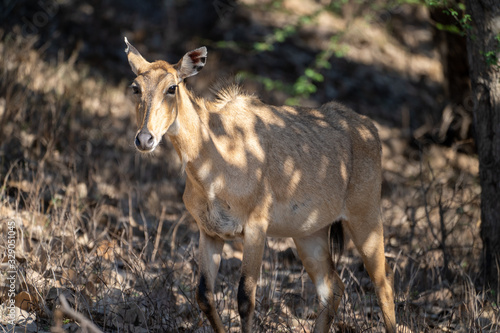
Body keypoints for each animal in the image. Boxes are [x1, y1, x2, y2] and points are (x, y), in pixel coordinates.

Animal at [124, 38, 394, 332]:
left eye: (172, 87)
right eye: (136, 87)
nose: (144, 139)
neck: (213, 165)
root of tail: (371, 130)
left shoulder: (256, 227)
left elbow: (245, 298)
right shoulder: (210, 232)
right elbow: (204, 295)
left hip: (365, 218)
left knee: (383, 285)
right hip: (309, 233)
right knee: (333, 289)